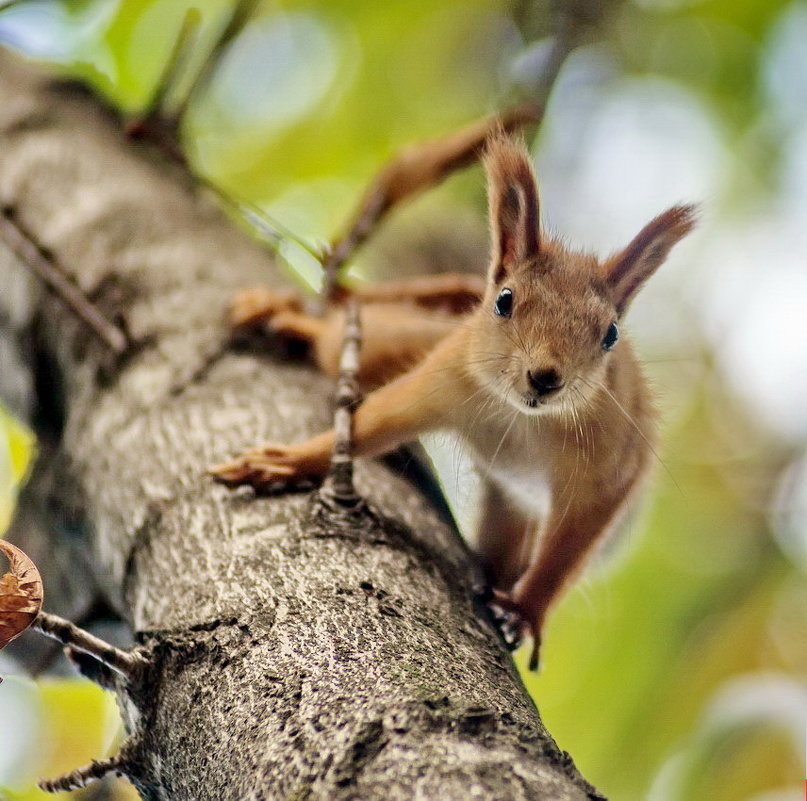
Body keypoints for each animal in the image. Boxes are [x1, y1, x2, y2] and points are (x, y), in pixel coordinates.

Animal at [211, 133, 696, 668]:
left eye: (610, 334)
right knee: (338, 333)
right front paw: (286, 462)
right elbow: (373, 422)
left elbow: (570, 547)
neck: (524, 420)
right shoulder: (445, 378)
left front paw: (526, 610)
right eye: (505, 301)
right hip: (397, 340)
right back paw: (287, 316)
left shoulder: (613, 460)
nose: (546, 378)